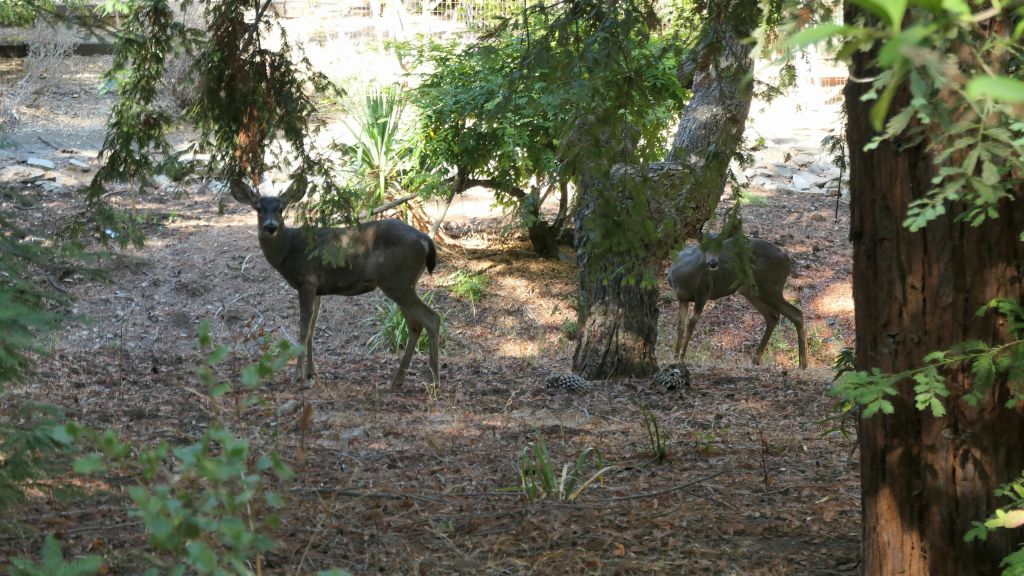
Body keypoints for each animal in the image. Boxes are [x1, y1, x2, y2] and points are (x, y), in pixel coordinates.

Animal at [232, 177, 440, 387]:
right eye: (258, 208)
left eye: (281, 209)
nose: (270, 227)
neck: (288, 249)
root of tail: (425, 239)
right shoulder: (317, 289)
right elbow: (312, 330)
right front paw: (311, 372)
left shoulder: (306, 281)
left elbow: (303, 330)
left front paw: (298, 375)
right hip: (402, 283)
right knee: (415, 324)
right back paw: (397, 380)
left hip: (397, 282)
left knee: (432, 318)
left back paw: (433, 380)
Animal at [671, 233, 806, 366]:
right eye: (704, 245)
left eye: (720, 246)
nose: (713, 263)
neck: (684, 278)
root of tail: (787, 258)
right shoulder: (682, 298)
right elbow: (680, 328)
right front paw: (675, 357)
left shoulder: (703, 292)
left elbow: (690, 327)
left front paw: (681, 359)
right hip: (751, 291)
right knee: (773, 316)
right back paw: (755, 360)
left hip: (770, 287)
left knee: (796, 313)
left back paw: (802, 364)